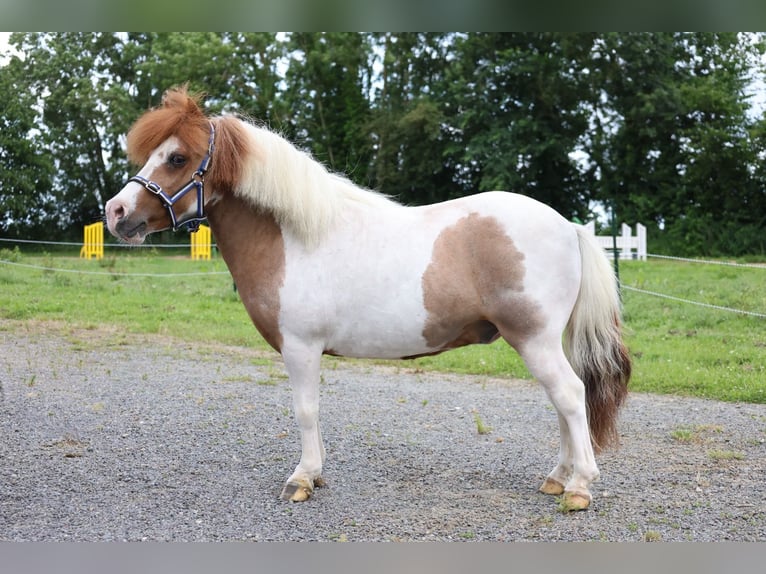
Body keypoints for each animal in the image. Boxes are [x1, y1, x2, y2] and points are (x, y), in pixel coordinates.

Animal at [105, 86, 630, 511]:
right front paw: (315, 475)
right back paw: (557, 479)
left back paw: (579, 487)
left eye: (177, 158)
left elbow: (305, 410)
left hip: (534, 339)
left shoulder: (301, 348)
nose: (116, 212)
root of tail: (569, 227)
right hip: (541, 342)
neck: (295, 238)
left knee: (570, 396)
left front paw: (302, 479)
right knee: (564, 402)